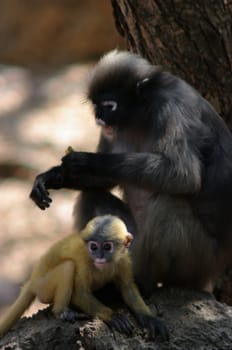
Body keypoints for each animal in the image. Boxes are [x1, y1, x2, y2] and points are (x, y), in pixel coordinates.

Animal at [0, 215, 168, 340]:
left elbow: (127, 287)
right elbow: (79, 293)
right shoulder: (83, 259)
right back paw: (62, 312)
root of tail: (33, 280)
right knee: (68, 266)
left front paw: (149, 318)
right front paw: (112, 315)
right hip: (43, 287)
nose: (99, 257)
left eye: (107, 247)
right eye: (93, 247)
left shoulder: (123, 259)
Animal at [29, 50, 232, 296]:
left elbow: (183, 175)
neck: (140, 116)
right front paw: (52, 176)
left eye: (109, 105)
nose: (98, 118)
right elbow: (102, 182)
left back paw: (144, 283)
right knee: (91, 195)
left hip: (198, 261)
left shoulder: (172, 106)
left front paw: (86, 161)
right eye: (96, 105)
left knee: (168, 204)